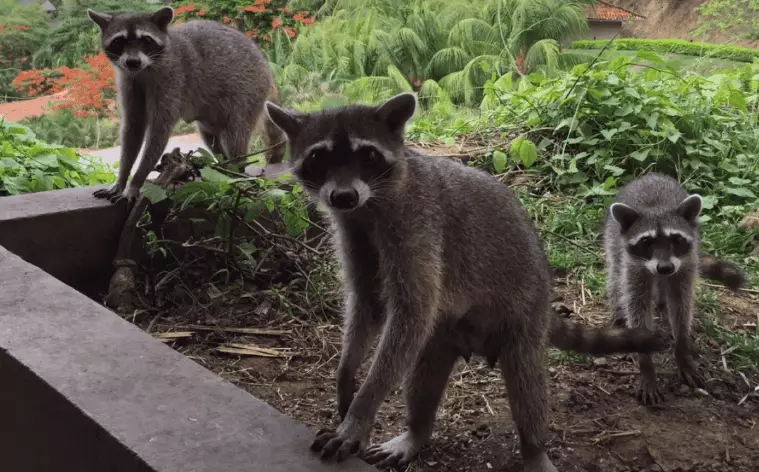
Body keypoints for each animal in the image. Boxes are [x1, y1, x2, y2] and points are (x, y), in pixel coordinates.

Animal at [87, 6, 285, 203]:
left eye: (146, 40)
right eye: (119, 41)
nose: (133, 62)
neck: (144, 70)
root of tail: (266, 68)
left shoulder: (173, 80)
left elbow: (159, 133)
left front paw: (136, 181)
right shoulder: (129, 82)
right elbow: (133, 128)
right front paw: (122, 180)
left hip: (249, 91)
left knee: (236, 134)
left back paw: (237, 171)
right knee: (211, 136)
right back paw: (222, 167)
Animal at [264, 93, 668, 472]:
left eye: (368, 156)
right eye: (319, 158)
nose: (343, 196)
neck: (369, 206)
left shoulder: (418, 224)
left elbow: (412, 310)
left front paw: (362, 409)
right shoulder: (353, 234)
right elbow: (366, 303)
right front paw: (347, 373)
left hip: (524, 317)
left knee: (527, 384)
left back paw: (534, 449)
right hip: (442, 337)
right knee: (423, 376)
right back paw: (417, 431)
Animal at [603, 172, 746, 405]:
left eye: (676, 239)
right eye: (646, 242)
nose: (665, 267)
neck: (657, 207)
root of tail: (651, 175)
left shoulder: (686, 264)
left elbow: (681, 304)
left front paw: (681, 348)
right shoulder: (634, 266)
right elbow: (636, 305)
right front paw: (646, 365)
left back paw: (662, 303)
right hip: (613, 241)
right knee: (616, 277)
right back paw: (619, 313)